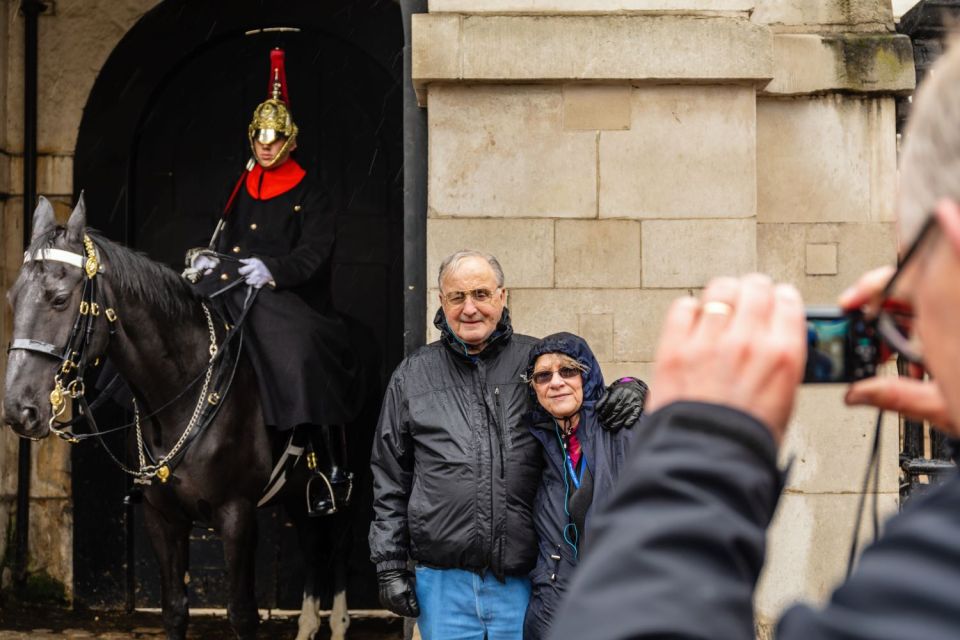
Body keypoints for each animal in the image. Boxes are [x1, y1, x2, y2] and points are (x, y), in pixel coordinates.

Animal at [2, 196, 364, 640]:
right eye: (13, 298)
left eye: (58, 299)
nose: (19, 409)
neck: (181, 397)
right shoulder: (163, 518)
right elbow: (174, 609)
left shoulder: (237, 516)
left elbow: (242, 613)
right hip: (297, 493)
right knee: (315, 546)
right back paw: (309, 624)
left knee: (341, 544)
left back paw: (340, 622)